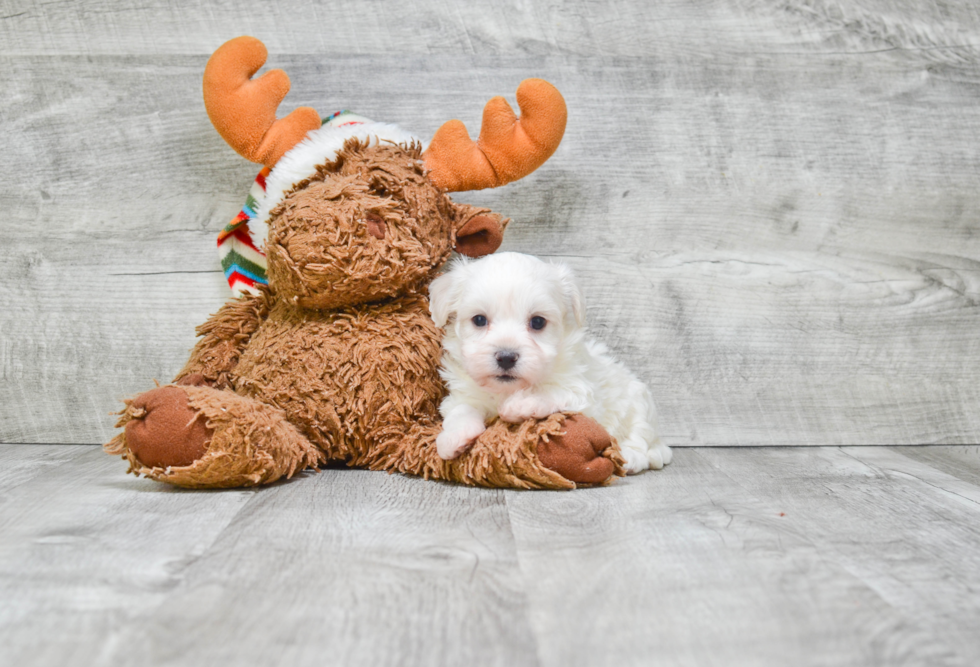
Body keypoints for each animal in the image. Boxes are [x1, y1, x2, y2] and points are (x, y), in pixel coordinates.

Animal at [430, 252, 672, 474]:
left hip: (640, 406)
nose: (506, 357)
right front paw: (452, 438)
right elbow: (460, 409)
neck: (507, 390)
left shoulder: (583, 393)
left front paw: (519, 405)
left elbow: (550, 392)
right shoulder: (463, 393)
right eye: (479, 320)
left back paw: (629, 458)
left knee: (641, 443)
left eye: (538, 322)